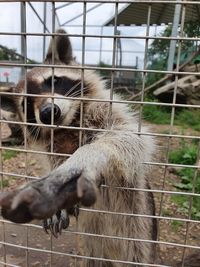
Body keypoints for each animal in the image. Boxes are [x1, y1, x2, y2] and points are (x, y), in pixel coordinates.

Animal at [0, 30, 158, 266]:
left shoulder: (111, 114)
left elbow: (129, 140)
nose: (48, 112)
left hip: (139, 233)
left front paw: (85, 156)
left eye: (54, 81)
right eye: (26, 104)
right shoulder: (51, 146)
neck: (69, 125)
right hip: (94, 247)